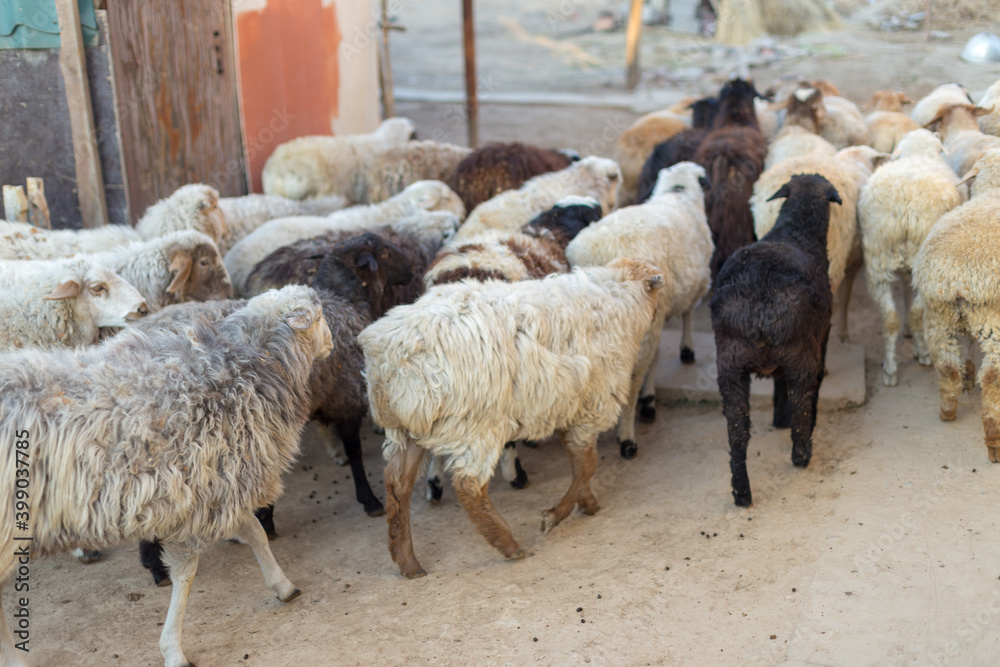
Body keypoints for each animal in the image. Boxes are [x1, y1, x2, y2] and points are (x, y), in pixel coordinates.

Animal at [0, 284, 332, 667]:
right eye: (319, 315)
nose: (333, 343)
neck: (246, 363)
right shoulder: (198, 497)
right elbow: (187, 573)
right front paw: (173, 649)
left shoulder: (218, 485)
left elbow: (255, 533)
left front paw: (282, 585)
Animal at [359, 257, 664, 578]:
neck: (619, 301)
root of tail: (388, 358)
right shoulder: (592, 407)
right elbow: (587, 465)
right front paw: (557, 515)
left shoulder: (570, 409)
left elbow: (579, 463)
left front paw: (585, 502)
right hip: (475, 424)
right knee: (468, 485)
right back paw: (508, 544)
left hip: (410, 428)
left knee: (398, 486)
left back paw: (407, 561)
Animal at [711, 174, 842, 507]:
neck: (796, 231)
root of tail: (760, 302)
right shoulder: (821, 336)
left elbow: (779, 387)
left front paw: (778, 417)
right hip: (801, 356)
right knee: (803, 404)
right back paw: (802, 454)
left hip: (730, 366)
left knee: (737, 430)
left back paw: (742, 492)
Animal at [857, 129, 964, 387]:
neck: (917, 152)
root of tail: (904, 206)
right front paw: (919, 348)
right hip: (924, 261)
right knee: (917, 313)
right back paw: (924, 353)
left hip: (878, 259)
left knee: (889, 319)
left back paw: (890, 370)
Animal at [912, 148, 1000, 463]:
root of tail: (959, 278)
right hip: (990, 317)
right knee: (992, 375)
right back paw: (994, 440)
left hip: (938, 314)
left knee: (947, 365)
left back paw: (947, 411)